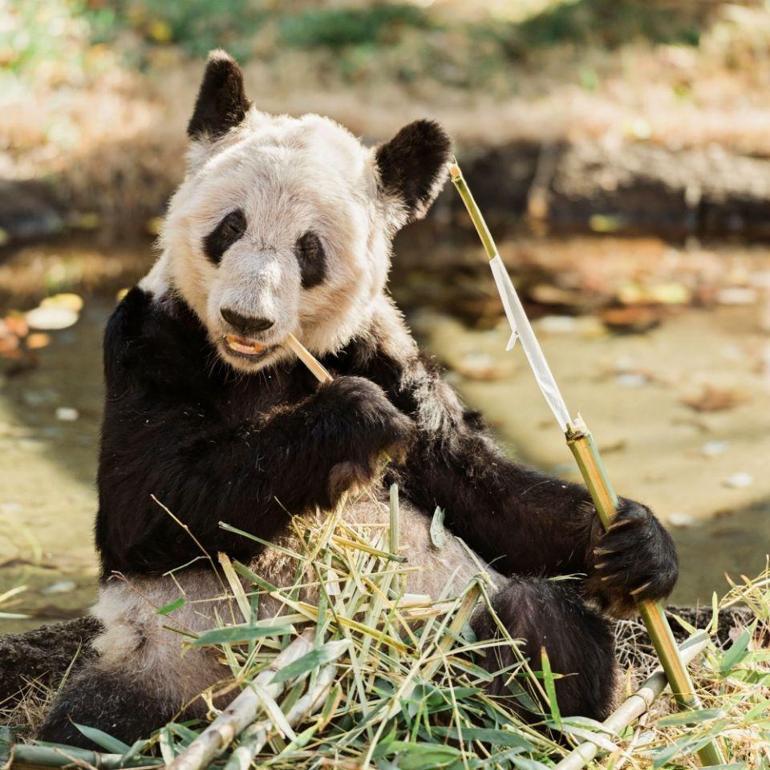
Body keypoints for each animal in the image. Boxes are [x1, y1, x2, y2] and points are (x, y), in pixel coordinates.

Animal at [37, 49, 672, 744]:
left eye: (308, 248)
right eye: (229, 228)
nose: (246, 317)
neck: (257, 368)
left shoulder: (380, 351)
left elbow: (484, 492)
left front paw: (634, 544)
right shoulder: (150, 339)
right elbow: (147, 504)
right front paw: (353, 418)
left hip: (451, 622)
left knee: (542, 623)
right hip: (172, 659)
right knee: (93, 723)